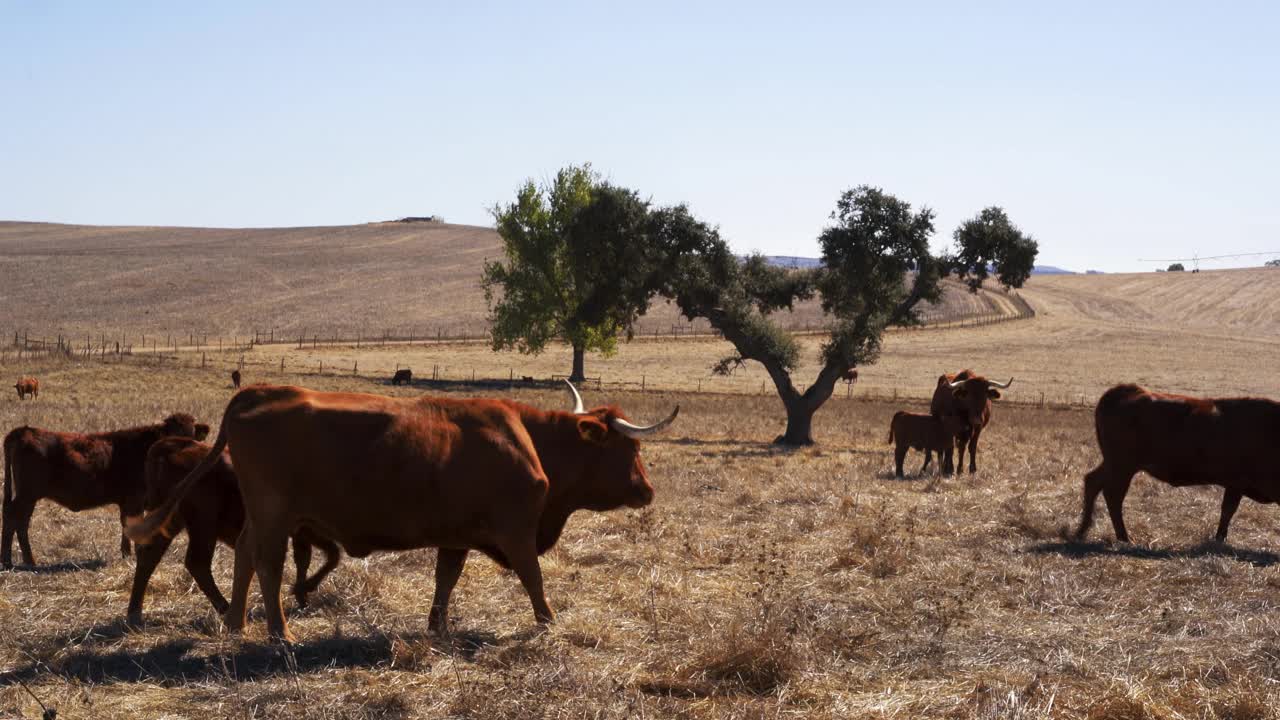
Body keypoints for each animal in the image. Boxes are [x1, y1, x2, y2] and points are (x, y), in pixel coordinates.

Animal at [3, 409, 207, 566]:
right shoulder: (135, 500)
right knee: (17, 519)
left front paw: (126, 554)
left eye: (190, 437)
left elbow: (126, 525)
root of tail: (25, 430)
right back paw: (22, 560)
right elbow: (133, 524)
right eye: (171, 436)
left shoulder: (129, 502)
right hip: (27, 495)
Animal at [127, 430, 340, 622]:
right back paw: (225, 608)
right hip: (203, 525)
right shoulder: (308, 530)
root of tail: (173, 447)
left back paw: (134, 612)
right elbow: (331, 556)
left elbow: (309, 559)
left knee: (149, 557)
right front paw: (304, 589)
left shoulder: (302, 534)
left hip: (169, 522)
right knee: (197, 563)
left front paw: (302, 595)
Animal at [1075, 384, 1280, 540]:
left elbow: (1227, 511)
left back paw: (1081, 531)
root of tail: (1129, 390)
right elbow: (1228, 511)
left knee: (1093, 482)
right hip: (1122, 467)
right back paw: (1124, 537)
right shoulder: (1238, 483)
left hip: (1114, 465)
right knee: (1113, 496)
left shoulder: (1235, 484)